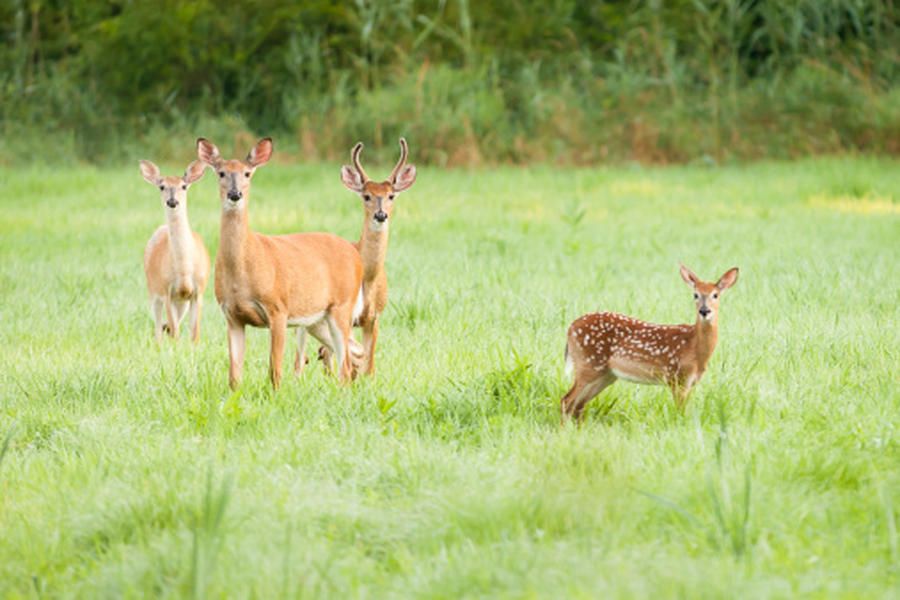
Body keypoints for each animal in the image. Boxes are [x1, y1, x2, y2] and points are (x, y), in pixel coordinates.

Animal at [140, 158, 210, 342]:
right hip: (153, 290)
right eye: (162, 186)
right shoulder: (166, 291)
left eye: (183, 186)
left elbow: (195, 333)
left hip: (181, 302)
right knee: (159, 328)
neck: (184, 269)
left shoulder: (198, 291)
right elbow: (174, 331)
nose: (172, 201)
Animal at [198, 137, 366, 390]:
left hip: (341, 305)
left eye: (247, 173)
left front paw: (275, 394)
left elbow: (274, 370)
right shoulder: (232, 316)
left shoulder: (278, 308)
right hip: (318, 318)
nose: (235, 194)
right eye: (221, 173)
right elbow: (234, 375)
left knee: (346, 361)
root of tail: (356, 254)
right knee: (354, 352)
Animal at [310, 139, 418, 376]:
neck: (367, 279)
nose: (380, 215)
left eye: (391, 196)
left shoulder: (374, 316)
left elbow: (369, 365)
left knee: (325, 350)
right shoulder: (348, 317)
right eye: (366, 196)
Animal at [564, 264, 740, 420]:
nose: (704, 311)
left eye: (715, 295)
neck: (694, 347)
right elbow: (680, 412)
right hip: (588, 364)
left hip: (605, 374)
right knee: (567, 401)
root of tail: (570, 328)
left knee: (578, 405)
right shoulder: (677, 377)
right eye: (695, 294)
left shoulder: (690, 383)